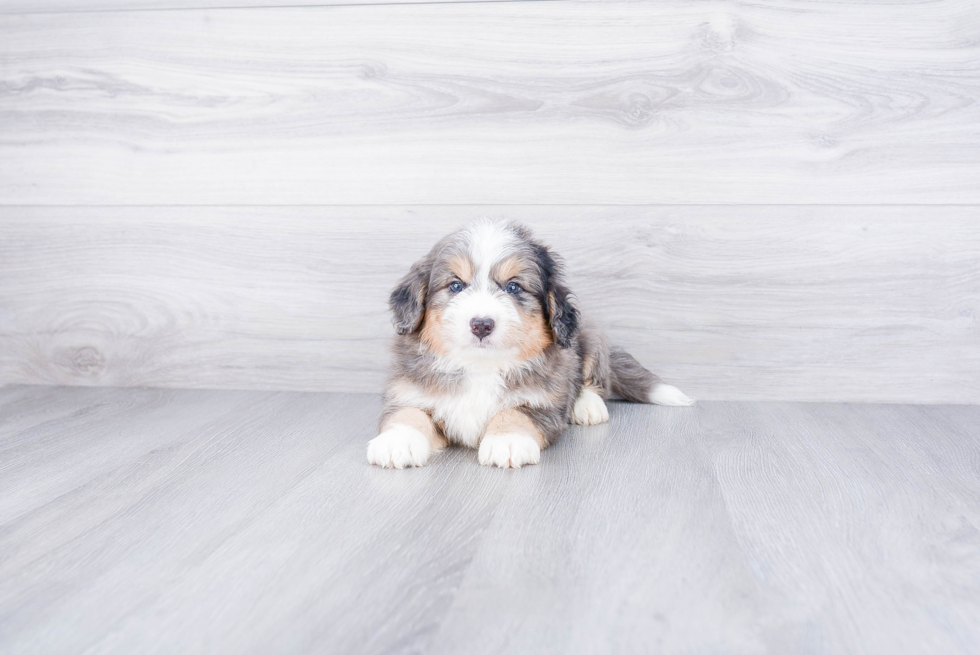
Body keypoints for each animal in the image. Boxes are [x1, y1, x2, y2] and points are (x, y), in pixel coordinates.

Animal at [364, 223, 692, 468]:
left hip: (590, 337)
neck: (480, 366)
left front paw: (507, 441)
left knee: (594, 380)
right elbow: (408, 414)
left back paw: (588, 407)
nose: (481, 324)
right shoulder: (409, 391)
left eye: (513, 287)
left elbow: (515, 412)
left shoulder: (543, 403)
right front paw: (397, 442)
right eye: (456, 285)